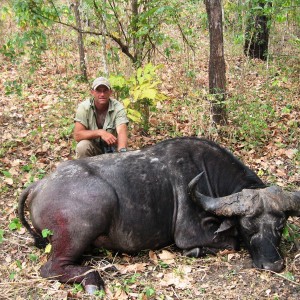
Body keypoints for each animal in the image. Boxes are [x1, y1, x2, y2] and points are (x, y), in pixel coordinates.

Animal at [19, 137, 300, 294]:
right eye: (248, 226)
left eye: (280, 225)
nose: (273, 265)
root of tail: (40, 185)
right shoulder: (189, 235)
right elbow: (228, 242)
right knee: (51, 267)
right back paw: (92, 279)